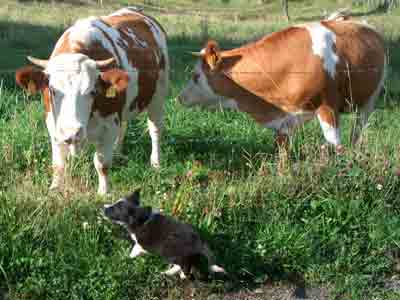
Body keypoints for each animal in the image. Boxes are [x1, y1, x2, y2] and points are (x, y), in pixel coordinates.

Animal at [15, 8, 169, 196]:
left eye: (92, 91)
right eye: (52, 89)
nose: (72, 133)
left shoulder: (109, 125)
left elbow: (101, 164)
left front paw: (103, 192)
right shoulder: (54, 125)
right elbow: (58, 164)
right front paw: (55, 188)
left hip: (158, 96)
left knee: (155, 130)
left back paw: (156, 162)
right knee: (124, 127)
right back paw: (118, 153)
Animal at [178, 13, 384, 150]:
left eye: (196, 76)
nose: (179, 98)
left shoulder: (328, 108)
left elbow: (335, 147)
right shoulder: (283, 122)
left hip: (369, 101)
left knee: (358, 131)